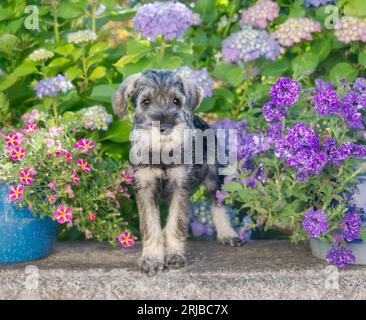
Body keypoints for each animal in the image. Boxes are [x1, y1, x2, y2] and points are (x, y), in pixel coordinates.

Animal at [113, 70, 242, 276]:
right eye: (146, 101)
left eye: (176, 101)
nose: (165, 128)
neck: (162, 153)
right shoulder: (145, 188)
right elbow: (150, 226)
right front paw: (151, 258)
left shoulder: (180, 188)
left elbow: (176, 223)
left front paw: (174, 255)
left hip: (213, 179)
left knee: (217, 204)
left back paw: (227, 233)